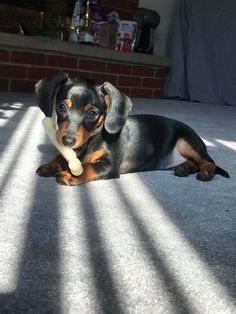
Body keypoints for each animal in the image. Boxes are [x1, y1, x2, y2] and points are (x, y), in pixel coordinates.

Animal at [35, 72, 229, 185]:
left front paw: (71, 175)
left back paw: (206, 172)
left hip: (188, 142)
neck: (92, 139)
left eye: (92, 114)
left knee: (208, 161)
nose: (67, 141)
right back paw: (184, 168)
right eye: (61, 107)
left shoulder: (109, 165)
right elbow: (61, 157)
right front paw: (50, 166)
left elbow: (88, 168)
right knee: (194, 162)